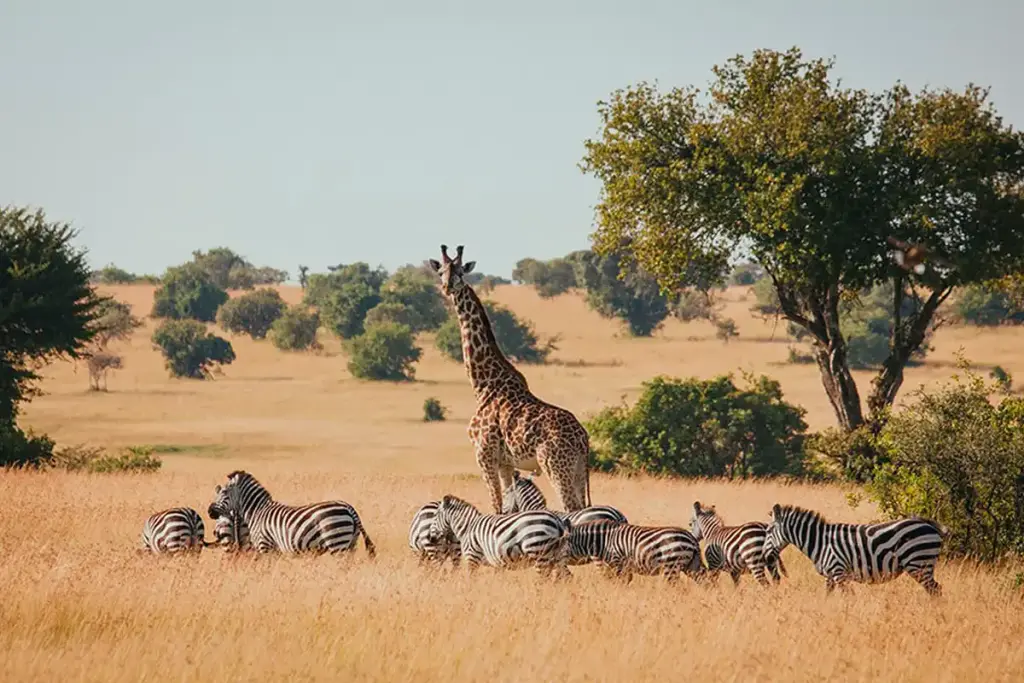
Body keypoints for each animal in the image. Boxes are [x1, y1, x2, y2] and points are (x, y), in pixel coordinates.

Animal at [208, 470, 375, 557]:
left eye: (224, 493)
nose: (209, 512)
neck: (257, 512)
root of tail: (348, 507)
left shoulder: (264, 545)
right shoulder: (274, 549)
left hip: (337, 542)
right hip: (350, 544)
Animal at [426, 494, 572, 578]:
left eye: (435, 516)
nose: (430, 538)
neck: (467, 527)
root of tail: (557, 521)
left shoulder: (472, 557)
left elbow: (471, 579)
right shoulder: (497, 563)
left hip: (538, 550)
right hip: (558, 556)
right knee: (566, 577)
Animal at [429, 244, 591, 514]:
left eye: (460, 272)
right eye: (441, 271)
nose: (447, 287)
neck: (483, 384)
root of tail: (583, 438)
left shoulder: (484, 455)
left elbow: (495, 506)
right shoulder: (506, 463)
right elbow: (508, 508)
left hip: (556, 466)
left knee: (572, 508)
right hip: (578, 471)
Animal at [567, 520, 706, 584]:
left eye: (561, 544)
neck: (605, 541)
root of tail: (692, 539)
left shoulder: (618, 562)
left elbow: (622, 583)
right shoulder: (624, 567)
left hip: (671, 565)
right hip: (691, 566)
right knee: (706, 582)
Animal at [765, 503, 947, 596]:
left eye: (769, 531)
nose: (766, 557)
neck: (820, 542)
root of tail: (927, 523)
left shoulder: (839, 573)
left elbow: (848, 597)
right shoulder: (831, 576)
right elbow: (827, 597)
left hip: (918, 563)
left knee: (936, 590)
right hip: (922, 564)